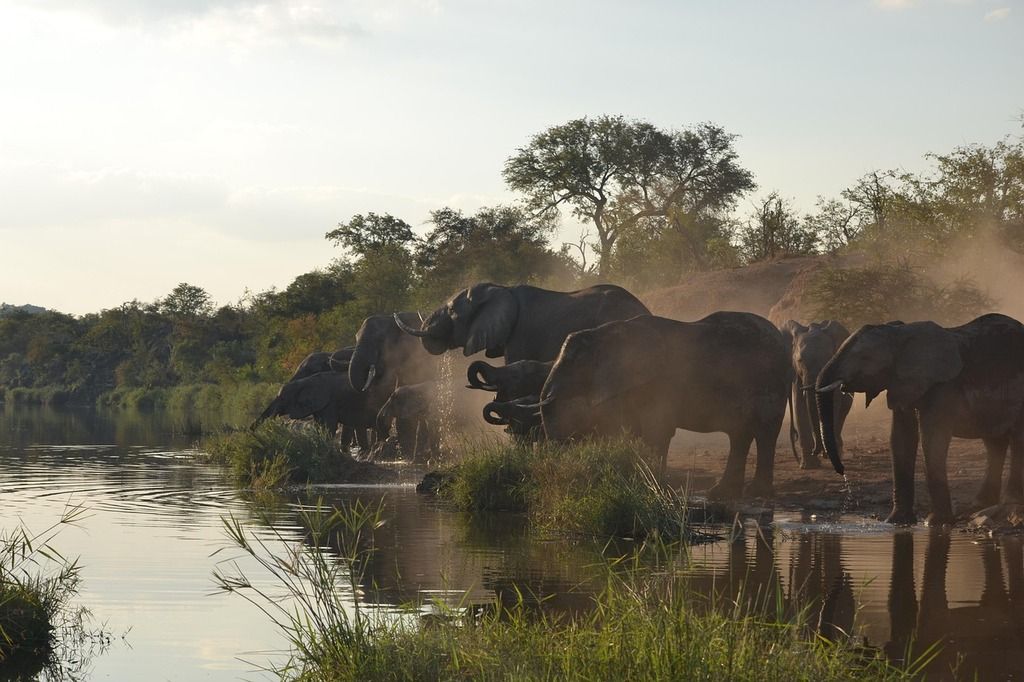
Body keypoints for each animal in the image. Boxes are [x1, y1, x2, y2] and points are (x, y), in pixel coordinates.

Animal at [538, 311, 791, 497]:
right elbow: (636, 431)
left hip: (771, 382)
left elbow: (657, 431)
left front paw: (652, 487)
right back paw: (720, 493)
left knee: (765, 433)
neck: (605, 332)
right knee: (740, 435)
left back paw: (757, 493)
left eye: (573, 363)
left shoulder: (660, 384)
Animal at [780, 320, 852, 469]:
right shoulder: (797, 375)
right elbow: (800, 404)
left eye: (828, 359)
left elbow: (833, 402)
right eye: (800, 360)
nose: (816, 451)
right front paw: (808, 466)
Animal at [816, 313, 1024, 525]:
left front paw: (936, 522)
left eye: (865, 357)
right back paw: (977, 506)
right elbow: (900, 437)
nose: (842, 471)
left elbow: (932, 438)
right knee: (994, 443)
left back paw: (1008, 506)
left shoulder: (943, 386)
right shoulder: (901, 382)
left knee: (1016, 440)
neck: (901, 333)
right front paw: (896, 521)